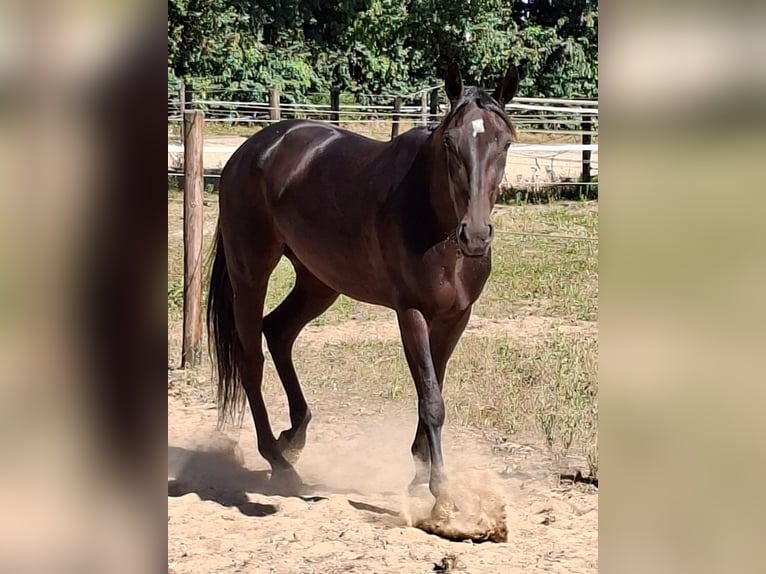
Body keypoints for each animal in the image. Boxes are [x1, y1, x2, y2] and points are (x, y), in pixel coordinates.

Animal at [206, 60, 520, 502]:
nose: (475, 236)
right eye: (450, 143)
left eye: (504, 144)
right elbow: (432, 401)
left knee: (278, 331)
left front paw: (419, 475)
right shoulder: (411, 314)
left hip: (319, 283)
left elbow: (432, 389)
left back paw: (294, 438)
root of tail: (249, 151)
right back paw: (279, 461)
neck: (436, 224)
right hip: (250, 275)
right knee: (252, 360)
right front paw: (439, 492)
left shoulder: (456, 317)